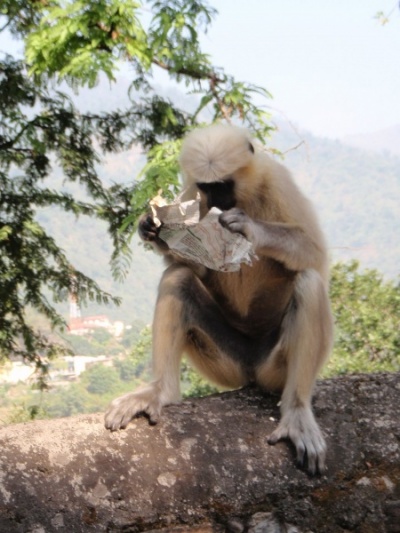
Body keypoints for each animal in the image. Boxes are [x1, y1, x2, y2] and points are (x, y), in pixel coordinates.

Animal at [105, 124, 334, 475]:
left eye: (224, 185)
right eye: (207, 187)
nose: (218, 201)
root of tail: (252, 368)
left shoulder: (277, 179)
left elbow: (315, 253)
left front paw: (248, 228)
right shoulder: (191, 193)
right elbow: (191, 264)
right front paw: (151, 227)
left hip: (274, 368)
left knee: (309, 282)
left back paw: (296, 410)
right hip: (227, 363)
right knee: (178, 278)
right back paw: (160, 391)